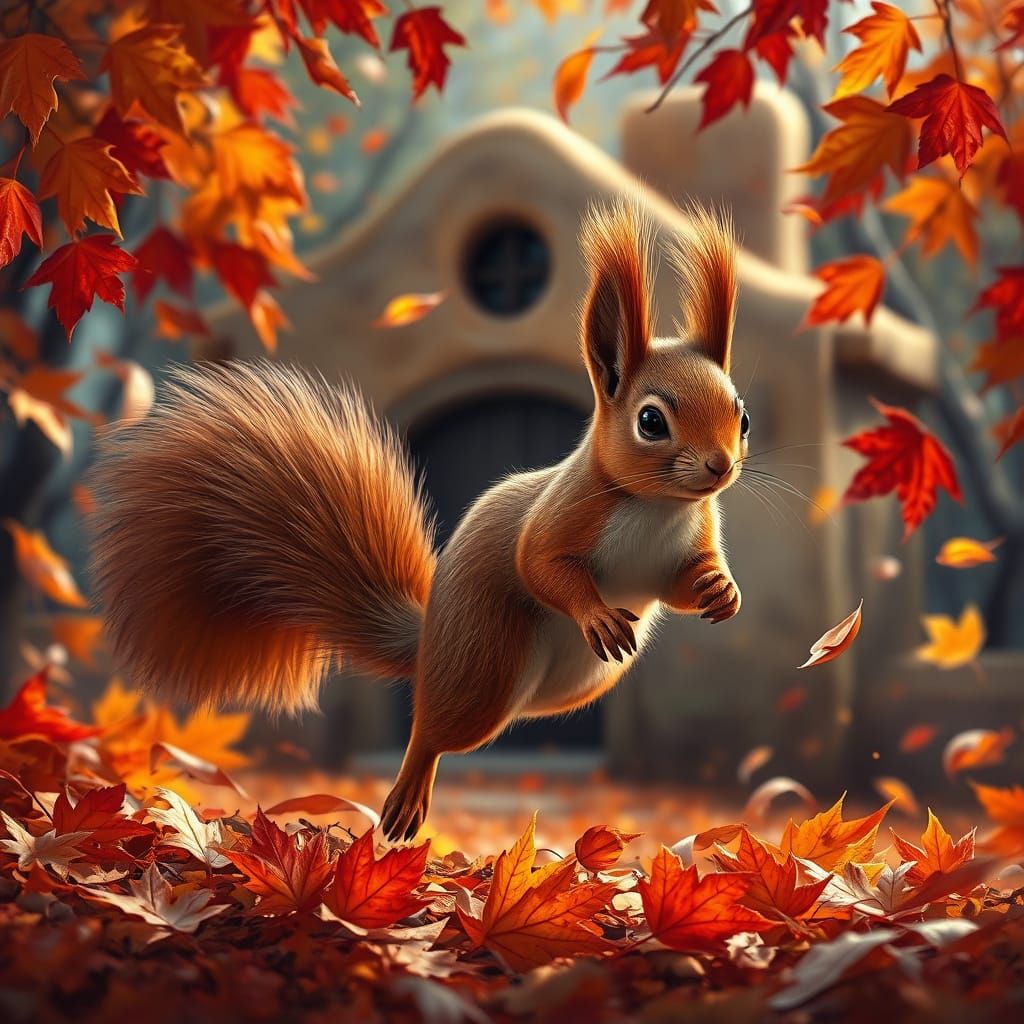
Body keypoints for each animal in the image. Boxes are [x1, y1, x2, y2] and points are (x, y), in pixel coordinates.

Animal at [90, 201, 749, 842]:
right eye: (651, 421)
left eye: (740, 414)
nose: (720, 466)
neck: (657, 505)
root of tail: (430, 634)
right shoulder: (565, 513)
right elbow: (538, 564)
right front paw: (595, 611)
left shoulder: (692, 541)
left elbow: (681, 584)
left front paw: (722, 591)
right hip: (482, 664)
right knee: (432, 730)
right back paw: (406, 798)